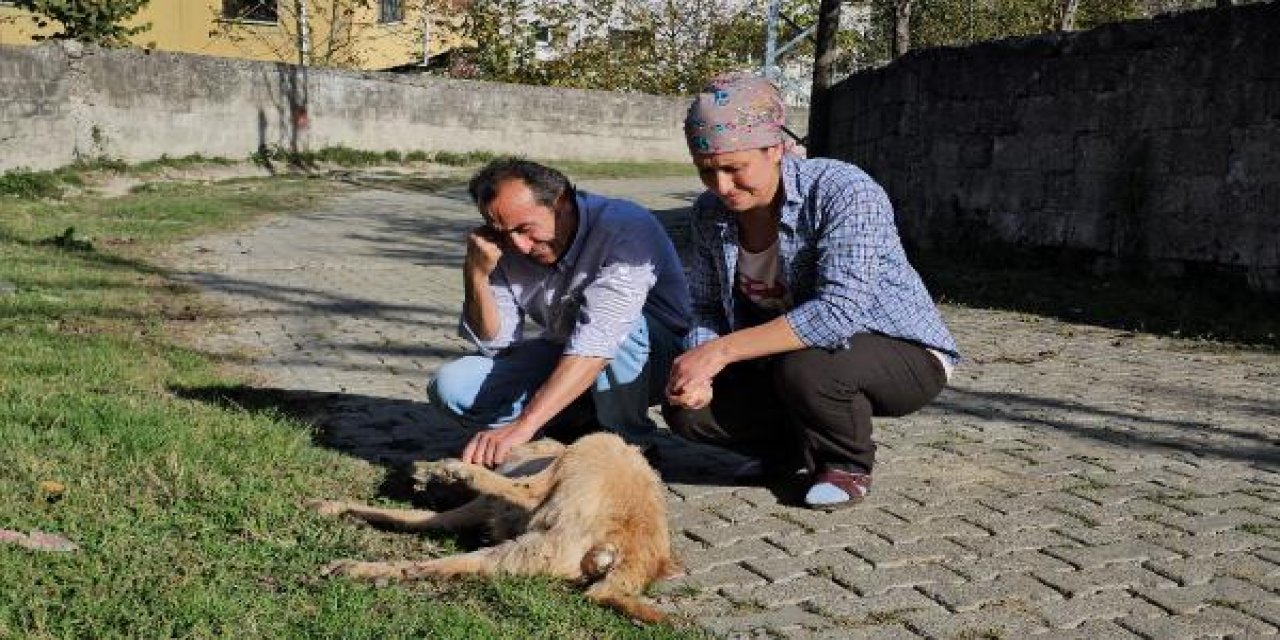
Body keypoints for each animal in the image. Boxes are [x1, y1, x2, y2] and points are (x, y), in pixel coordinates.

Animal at [307, 432, 680, 622]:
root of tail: (637, 552)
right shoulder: (468, 513)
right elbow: (403, 516)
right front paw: (333, 507)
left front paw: (434, 470)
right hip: (523, 555)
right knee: (434, 566)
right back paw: (358, 568)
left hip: (597, 443)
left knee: (528, 490)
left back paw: (454, 468)